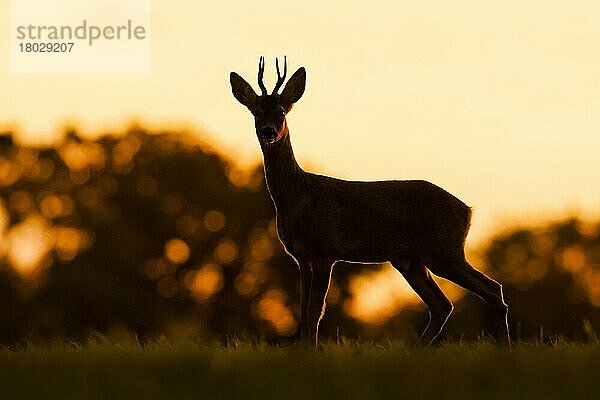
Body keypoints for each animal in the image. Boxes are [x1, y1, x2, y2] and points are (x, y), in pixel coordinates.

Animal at [230, 57, 510, 346]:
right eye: (256, 112)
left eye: (282, 111)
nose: (268, 132)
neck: (298, 197)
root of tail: (468, 210)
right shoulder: (301, 256)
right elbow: (303, 310)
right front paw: (303, 350)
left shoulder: (325, 251)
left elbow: (315, 310)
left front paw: (311, 351)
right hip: (410, 260)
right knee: (443, 305)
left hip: (444, 250)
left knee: (492, 290)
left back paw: (504, 348)